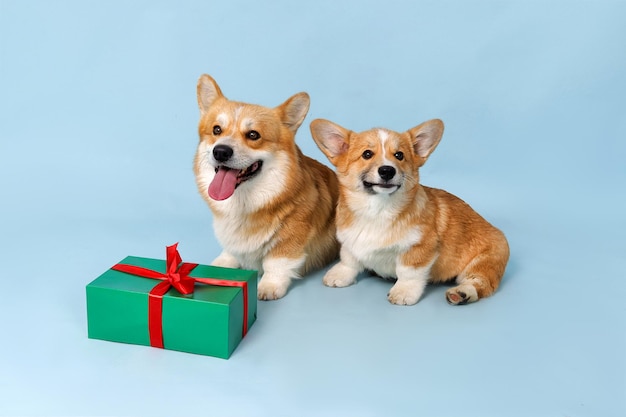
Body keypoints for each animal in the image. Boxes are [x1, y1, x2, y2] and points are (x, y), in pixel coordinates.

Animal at [195, 75, 342, 300]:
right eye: (216, 130)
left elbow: (275, 263)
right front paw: (222, 264)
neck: (244, 204)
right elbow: (231, 250)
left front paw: (268, 286)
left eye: (253, 135)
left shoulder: (290, 239)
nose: (220, 151)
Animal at [308, 118, 508, 306]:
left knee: (480, 282)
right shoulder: (350, 242)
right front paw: (340, 274)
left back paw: (461, 293)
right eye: (367, 154)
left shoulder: (419, 248)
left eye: (399, 155)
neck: (378, 209)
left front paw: (404, 292)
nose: (387, 170)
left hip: (485, 261)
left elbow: (408, 272)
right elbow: (349, 259)